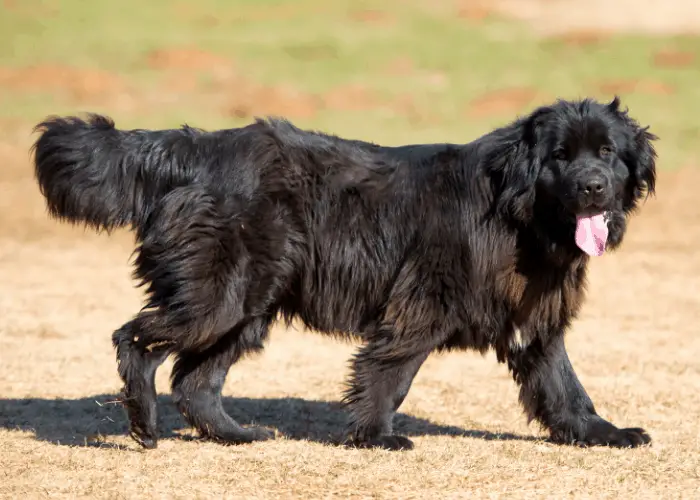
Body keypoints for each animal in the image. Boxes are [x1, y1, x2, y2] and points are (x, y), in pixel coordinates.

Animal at [31, 95, 656, 452]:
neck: (516, 207)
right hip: (219, 296)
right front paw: (376, 437)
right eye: (559, 156)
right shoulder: (421, 302)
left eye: (607, 153)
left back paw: (235, 435)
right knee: (135, 340)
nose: (593, 187)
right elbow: (390, 372)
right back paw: (143, 424)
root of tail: (194, 149)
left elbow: (564, 385)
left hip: (248, 305)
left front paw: (602, 434)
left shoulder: (535, 316)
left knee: (196, 380)